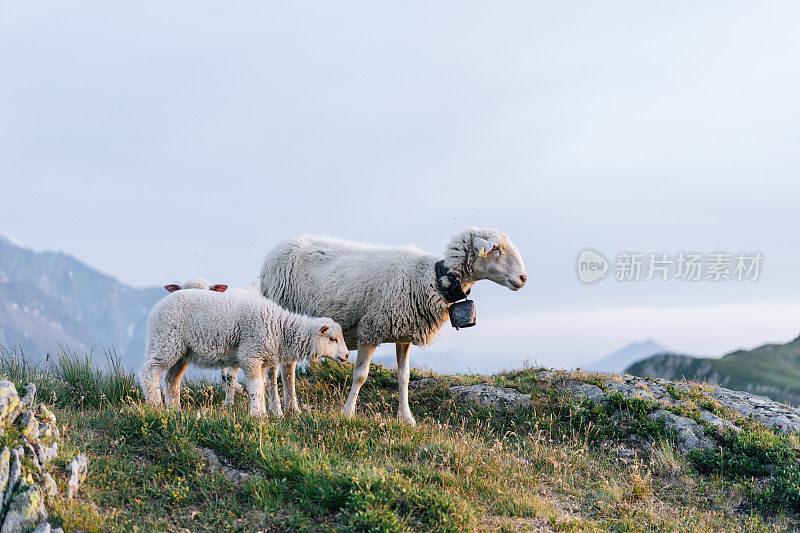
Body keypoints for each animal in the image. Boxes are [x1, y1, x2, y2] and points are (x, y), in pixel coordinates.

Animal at [140, 286, 350, 416]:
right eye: (332, 339)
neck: (280, 329)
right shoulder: (251, 354)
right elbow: (255, 385)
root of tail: (156, 309)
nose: (347, 355)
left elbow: (262, 385)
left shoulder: (262, 359)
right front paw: (257, 414)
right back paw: (156, 405)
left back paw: (175, 410)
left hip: (182, 352)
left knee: (171, 380)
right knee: (150, 371)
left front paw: (262, 410)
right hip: (166, 341)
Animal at [260, 224, 528, 424]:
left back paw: (293, 409)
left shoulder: (403, 334)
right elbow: (360, 375)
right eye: (495, 248)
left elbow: (404, 376)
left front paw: (406, 418)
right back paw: (277, 410)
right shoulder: (371, 329)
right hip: (277, 319)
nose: (523, 278)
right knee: (274, 370)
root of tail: (275, 250)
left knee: (288, 369)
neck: (430, 279)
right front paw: (347, 413)